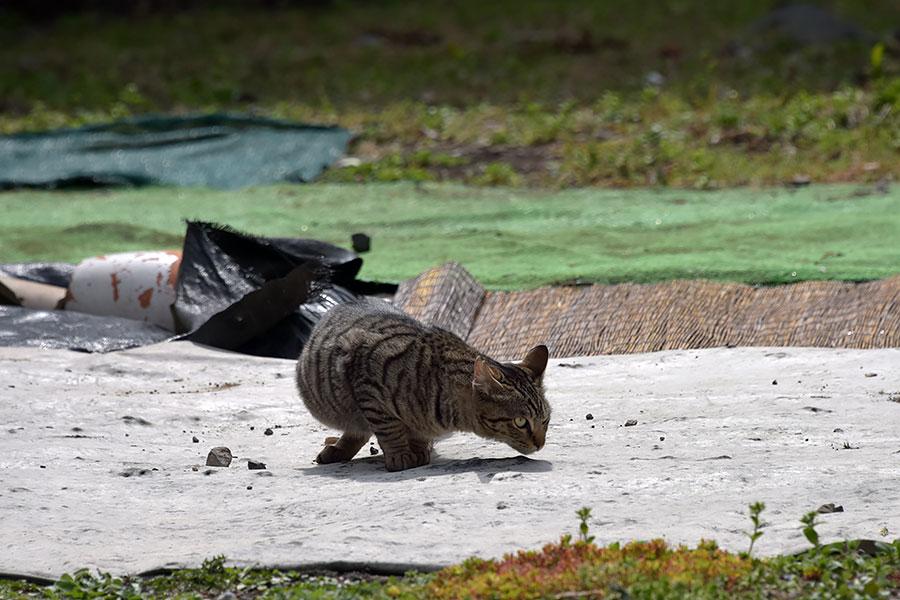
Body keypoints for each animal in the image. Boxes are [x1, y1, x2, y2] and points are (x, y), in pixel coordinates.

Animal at [298, 298, 548, 472]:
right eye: (520, 422)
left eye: (545, 420)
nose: (541, 443)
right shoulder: (369, 391)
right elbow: (389, 429)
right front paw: (400, 454)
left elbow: (418, 434)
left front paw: (418, 450)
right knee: (359, 427)